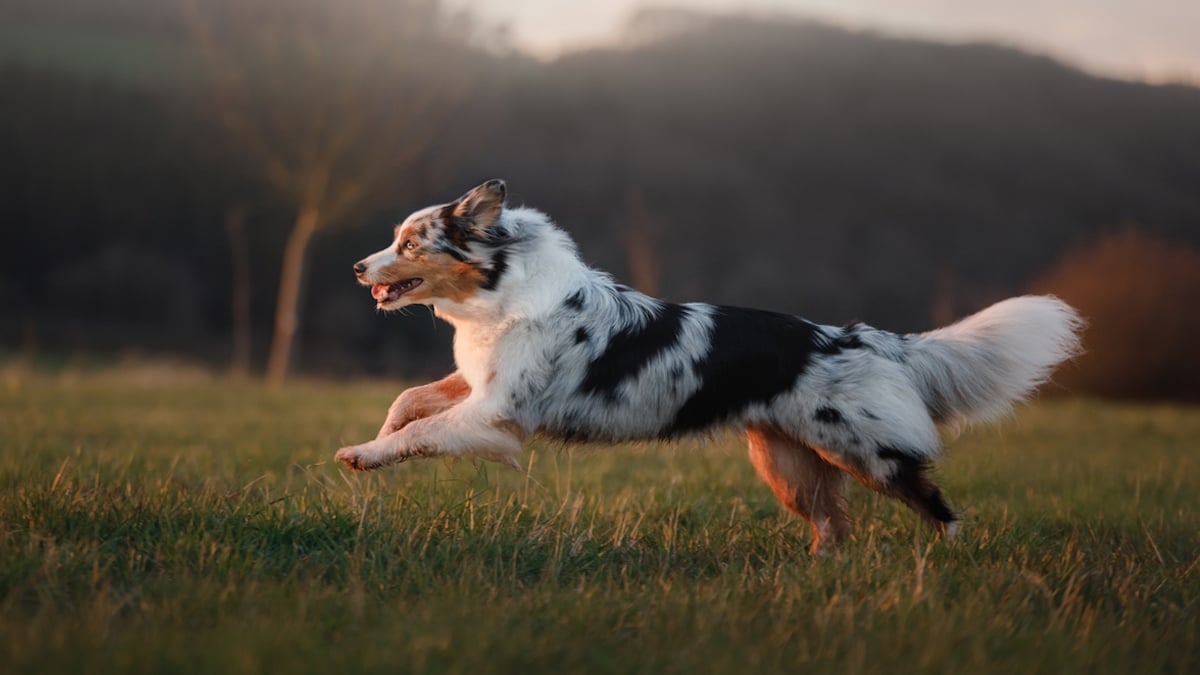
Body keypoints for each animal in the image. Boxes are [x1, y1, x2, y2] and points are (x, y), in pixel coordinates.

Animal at [333, 178, 1084, 552]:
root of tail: (868, 338)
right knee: (834, 527)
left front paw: (364, 455)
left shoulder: (496, 414)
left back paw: (952, 561)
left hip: (866, 452)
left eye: (409, 242)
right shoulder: (477, 386)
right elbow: (409, 400)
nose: (357, 267)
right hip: (786, 462)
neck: (502, 289)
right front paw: (372, 437)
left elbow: (422, 431)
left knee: (934, 503)